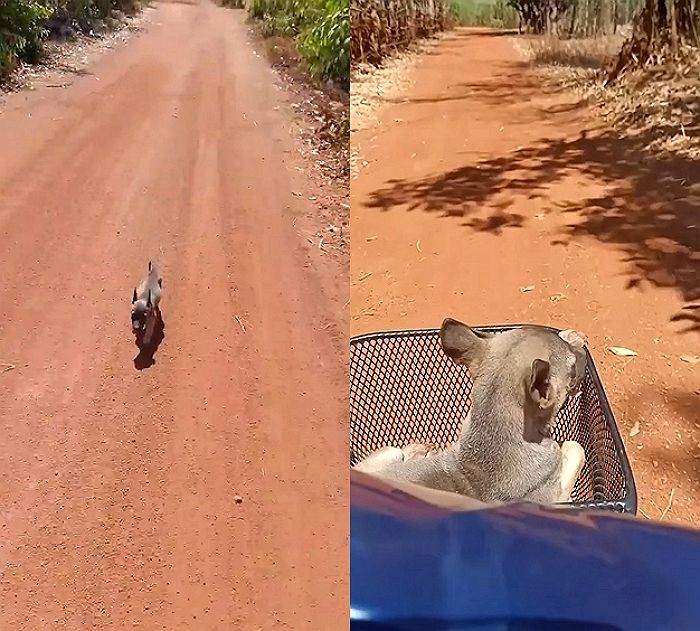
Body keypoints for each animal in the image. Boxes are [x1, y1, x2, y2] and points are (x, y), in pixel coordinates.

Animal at [352, 318, 588, 506]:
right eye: (572, 368)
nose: (584, 353)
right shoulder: (555, 498)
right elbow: (575, 450)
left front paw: (570, 335)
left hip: (390, 452)